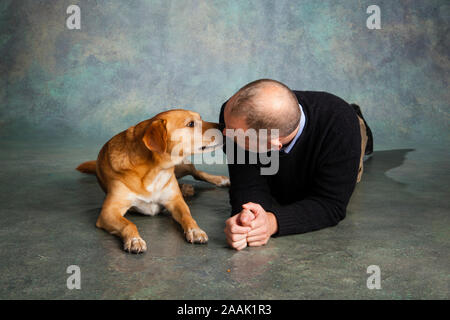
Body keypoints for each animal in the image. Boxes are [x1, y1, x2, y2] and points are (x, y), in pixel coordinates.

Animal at [76, 109, 229, 254]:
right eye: (191, 124)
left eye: (200, 118)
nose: (223, 125)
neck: (155, 169)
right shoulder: (108, 211)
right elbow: (128, 224)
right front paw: (134, 240)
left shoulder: (175, 202)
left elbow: (188, 216)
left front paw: (195, 230)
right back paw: (185, 188)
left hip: (183, 165)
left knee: (197, 173)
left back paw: (220, 180)